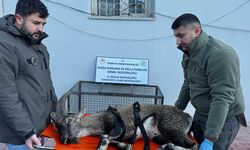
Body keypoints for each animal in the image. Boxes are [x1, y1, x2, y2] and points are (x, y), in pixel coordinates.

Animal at [50, 94, 198, 149]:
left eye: (69, 121)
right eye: (57, 128)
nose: (64, 139)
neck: (102, 121)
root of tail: (188, 116)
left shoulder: (121, 128)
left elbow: (104, 137)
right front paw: (126, 146)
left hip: (170, 128)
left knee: (193, 146)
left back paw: (168, 147)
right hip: (160, 136)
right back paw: (166, 146)